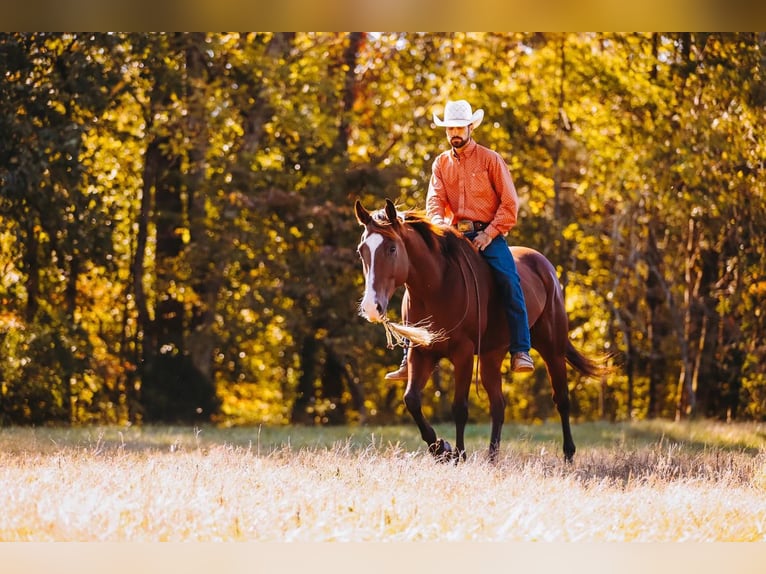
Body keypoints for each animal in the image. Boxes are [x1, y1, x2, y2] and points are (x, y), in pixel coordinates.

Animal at [355, 198, 612, 463]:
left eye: (392, 249)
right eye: (362, 251)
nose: (371, 307)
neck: (436, 287)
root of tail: (546, 267)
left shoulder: (463, 353)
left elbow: (459, 407)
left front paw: (458, 454)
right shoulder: (422, 352)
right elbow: (412, 400)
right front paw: (441, 448)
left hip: (552, 348)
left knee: (561, 399)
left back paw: (568, 454)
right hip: (491, 356)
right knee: (498, 405)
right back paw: (492, 457)